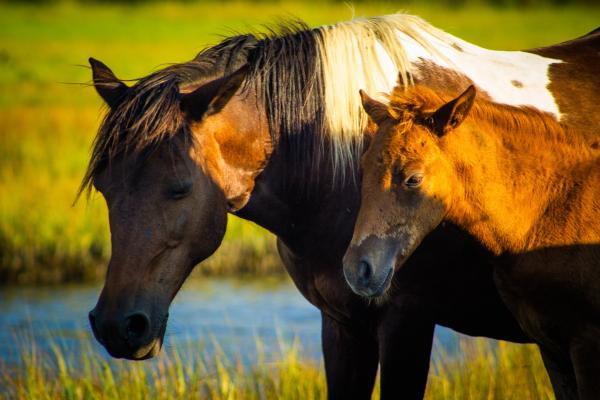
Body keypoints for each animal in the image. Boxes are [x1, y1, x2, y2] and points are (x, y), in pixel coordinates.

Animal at [344, 85, 600, 400]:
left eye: (414, 179)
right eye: (363, 166)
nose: (357, 271)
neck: (553, 210)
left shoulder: (587, 347)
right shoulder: (551, 349)